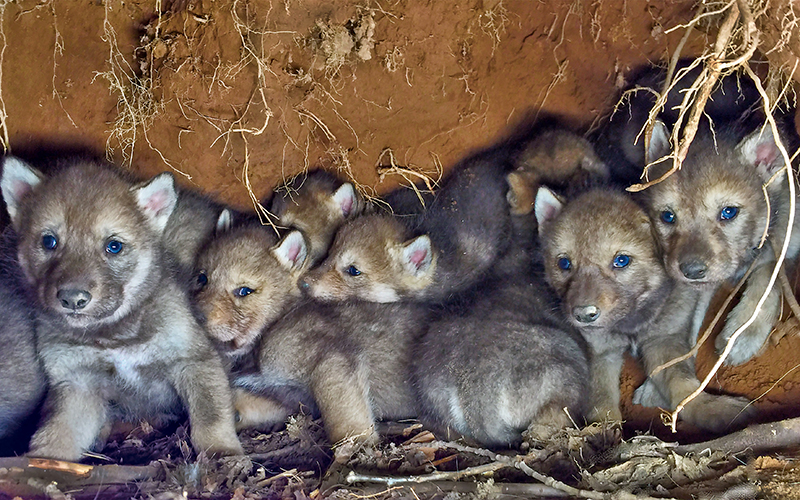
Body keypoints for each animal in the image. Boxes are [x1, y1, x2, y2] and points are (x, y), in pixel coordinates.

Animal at [0, 157, 242, 461]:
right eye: (49, 241)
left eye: (113, 246)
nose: (73, 299)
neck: (114, 337)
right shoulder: (77, 382)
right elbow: (56, 433)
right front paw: (44, 461)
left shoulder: (194, 360)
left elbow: (211, 418)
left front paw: (223, 453)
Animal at [536, 187, 752, 431]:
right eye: (564, 263)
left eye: (621, 260)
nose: (583, 315)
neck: (631, 324)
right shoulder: (601, 352)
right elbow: (602, 402)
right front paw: (604, 433)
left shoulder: (663, 340)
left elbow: (683, 385)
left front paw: (713, 408)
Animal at [642, 121, 800, 365]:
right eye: (667, 217)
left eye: (729, 212)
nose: (692, 271)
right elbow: (692, 318)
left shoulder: (787, 244)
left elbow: (767, 280)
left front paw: (743, 334)